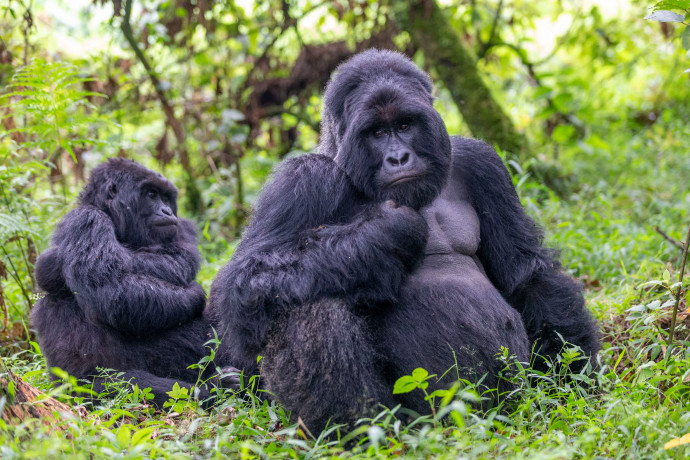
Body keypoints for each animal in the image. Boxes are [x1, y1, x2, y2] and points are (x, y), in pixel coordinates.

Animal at [33, 159, 239, 410]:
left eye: (166, 198)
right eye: (151, 195)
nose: (167, 211)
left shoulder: (181, 227)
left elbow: (175, 256)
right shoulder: (86, 218)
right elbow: (116, 290)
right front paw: (194, 294)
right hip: (77, 390)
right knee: (124, 384)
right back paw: (213, 389)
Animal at [208, 50, 596, 432]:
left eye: (406, 125)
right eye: (377, 132)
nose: (398, 158)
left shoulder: (483, 164)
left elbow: (526, 272)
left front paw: (577, 376)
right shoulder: (303, 179)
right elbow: (242, 287)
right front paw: (386, 232)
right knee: (303, 299)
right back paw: (359, 434)